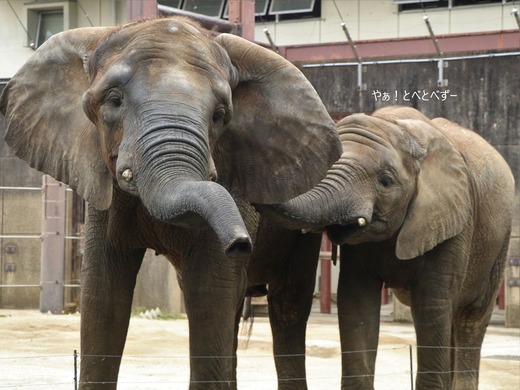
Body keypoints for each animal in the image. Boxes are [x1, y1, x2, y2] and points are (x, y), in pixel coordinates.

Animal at [0, 18, 342, 390]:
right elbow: (101, 296)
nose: (240, 243)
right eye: (114, 100)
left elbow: (210, 293)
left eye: (220, 115)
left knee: (287, 305)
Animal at [268, 106, 516, 390]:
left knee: (469, 319)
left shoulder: (454, 223)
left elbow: (431, 305)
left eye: (385, 181)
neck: (396, 125)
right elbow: (357, 302)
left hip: (499, 242)